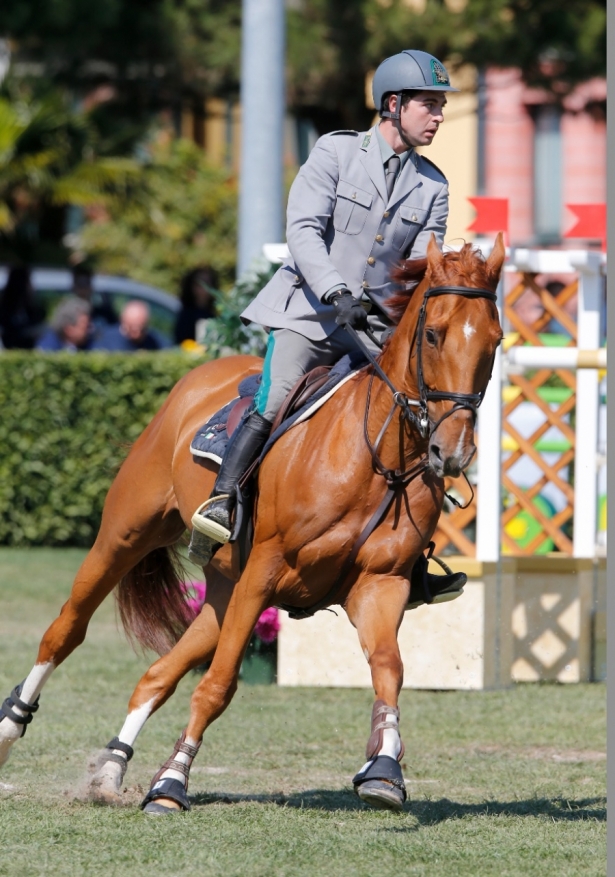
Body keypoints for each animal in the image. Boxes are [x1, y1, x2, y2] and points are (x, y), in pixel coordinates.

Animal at [0, 233, 506, 816]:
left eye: (495, 341)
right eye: (433, 334)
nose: (454, 452)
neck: (379, 455)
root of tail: (196, 379)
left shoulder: (381, 584)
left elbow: (388, 668)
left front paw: (383, 771)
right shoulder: (264, 571)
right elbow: (219, 686)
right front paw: (170, 784)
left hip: (223, 591)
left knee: (157, 675)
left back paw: (110, 769)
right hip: (128, 538)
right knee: (66, 630)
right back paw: (10, 729)